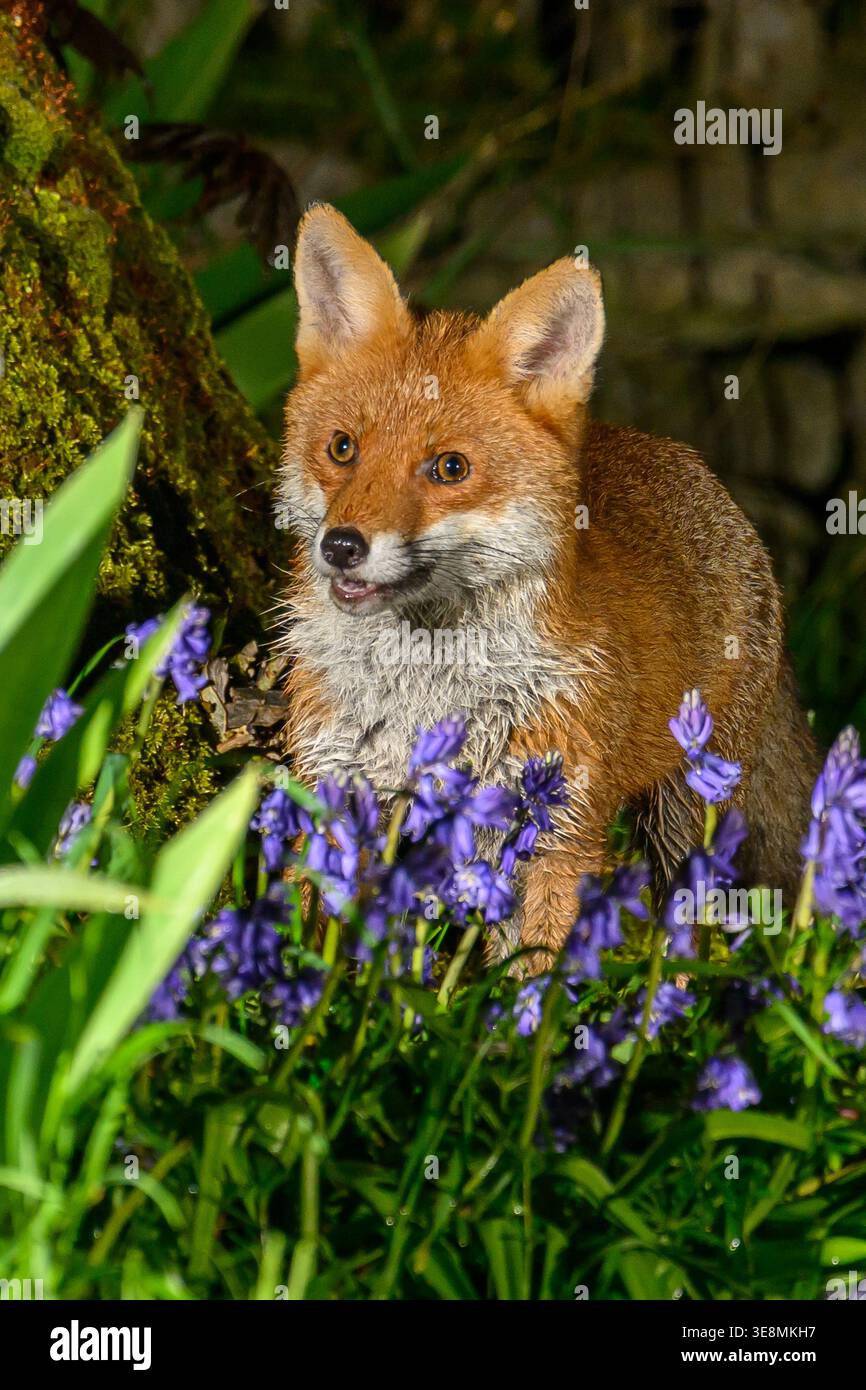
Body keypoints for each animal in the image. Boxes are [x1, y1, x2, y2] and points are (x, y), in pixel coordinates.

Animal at [277, 203, 818, 969]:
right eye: (342, 448)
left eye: (449, 468)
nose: (342, 546)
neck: (429, 686)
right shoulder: (338, 786)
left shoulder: (563, 825)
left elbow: (533, 972)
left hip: (686, 809)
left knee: (688, 939)